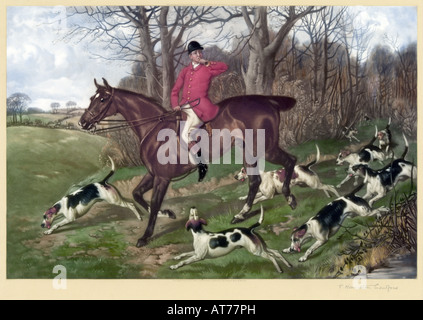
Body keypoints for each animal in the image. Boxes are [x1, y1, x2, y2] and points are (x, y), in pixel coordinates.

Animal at [79, 78, 298, 248]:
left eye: (102, 99)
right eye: (91, 98)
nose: (82, 122)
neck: (154, 128)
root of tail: (267, 100)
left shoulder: (162, 177)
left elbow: (153, 201)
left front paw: (146, 236)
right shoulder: (153, 174)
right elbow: (137, 194)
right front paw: (167, 213)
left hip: (265, 149)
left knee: (290, 161)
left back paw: (289, 198)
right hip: (249, 151)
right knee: (254, 181)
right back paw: (241, 215)